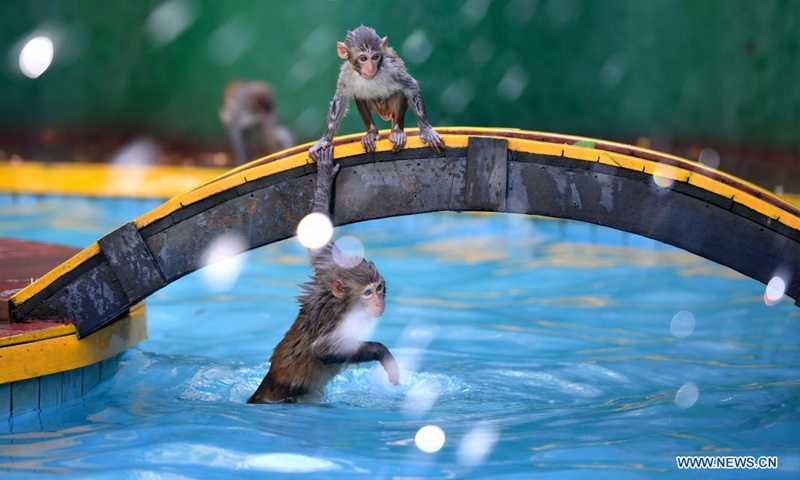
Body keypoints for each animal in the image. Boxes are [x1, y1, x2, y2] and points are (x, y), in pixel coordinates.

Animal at [248, 146, 400, 404]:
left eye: (379, 288)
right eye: (368, 292)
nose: (379, 302)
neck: (338, 299)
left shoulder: (329, 265)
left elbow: (316, 238)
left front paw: (325, 173)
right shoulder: (342, 320)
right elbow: (321, 350)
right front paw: (383, 354)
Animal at [308, 25, 445, 160]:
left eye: (375, 57)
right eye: (363, 58)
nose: (370, 68)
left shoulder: (391, 68)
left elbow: (411, 86)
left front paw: (426, 130)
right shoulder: (345, 73)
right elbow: (340, 99)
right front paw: (325, 140)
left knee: (400, 92)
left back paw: (397, 132)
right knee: (359, 95)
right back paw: (372, 133)